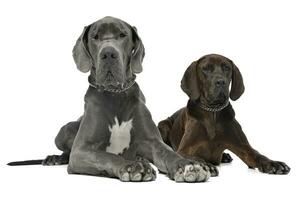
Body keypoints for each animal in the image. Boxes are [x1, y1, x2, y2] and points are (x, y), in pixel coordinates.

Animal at [159, 53, 290, 175]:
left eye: (227, 68)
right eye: (206, 68)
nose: (221, 82)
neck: (213, 112)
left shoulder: (244, 148)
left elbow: (257, 155)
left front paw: (273, 163)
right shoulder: (184, 150)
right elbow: (193, 157)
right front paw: (204, 165)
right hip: (163, 125)